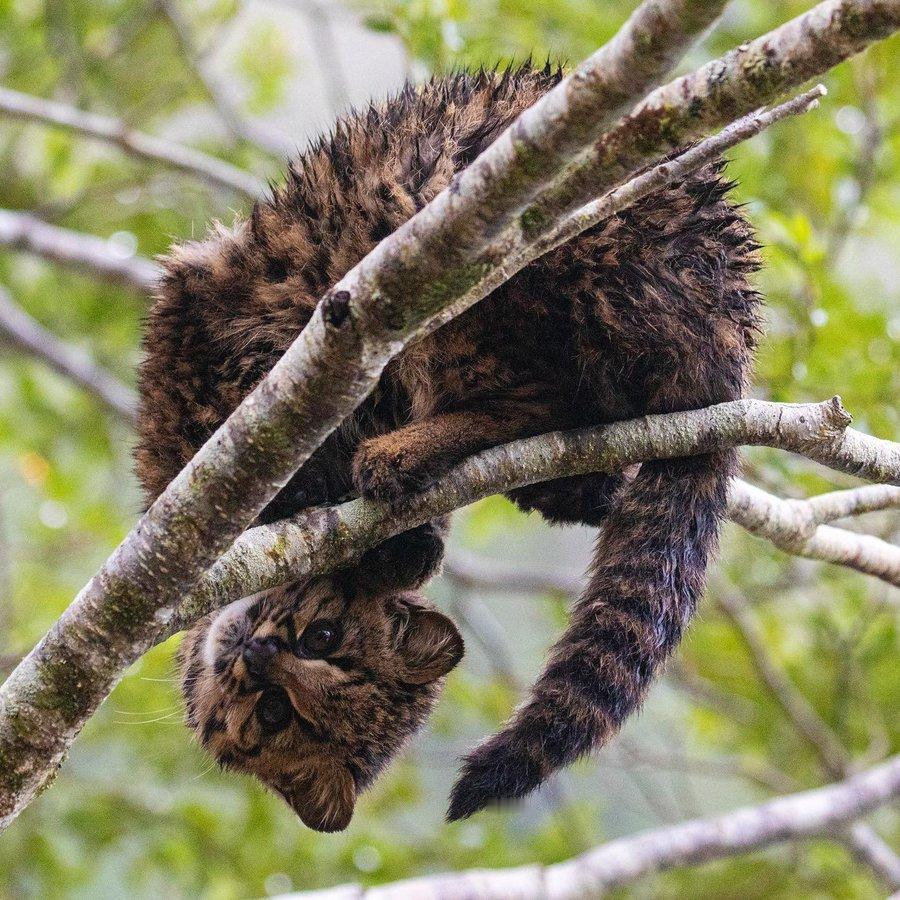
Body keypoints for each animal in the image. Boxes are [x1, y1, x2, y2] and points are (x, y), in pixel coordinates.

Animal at [137, 65, 764, 828]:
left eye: (322, 645)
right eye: (276, 715)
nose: (258, 655)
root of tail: (726, 316)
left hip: (493, 268)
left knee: (529, 400)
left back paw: (401, 453)